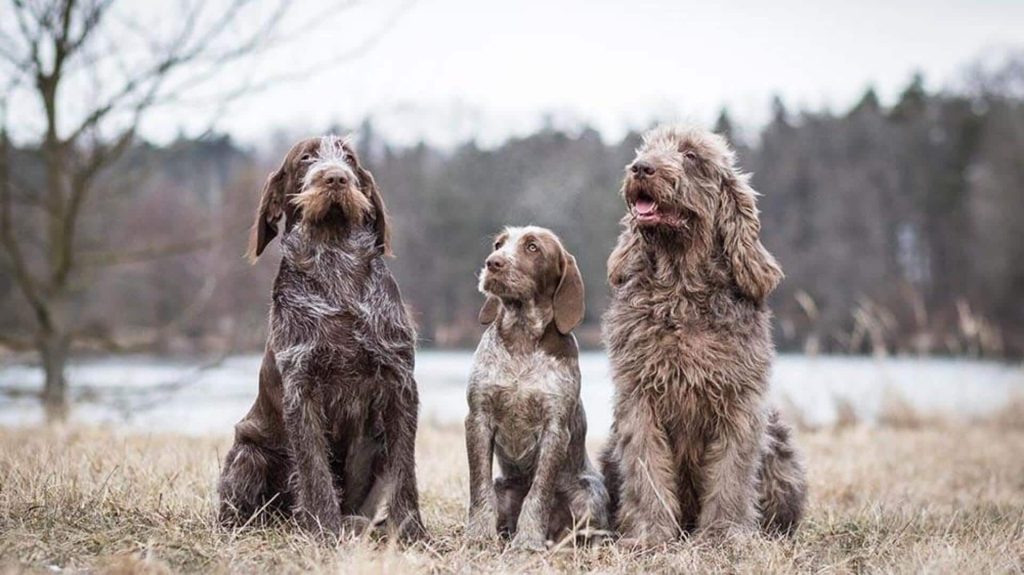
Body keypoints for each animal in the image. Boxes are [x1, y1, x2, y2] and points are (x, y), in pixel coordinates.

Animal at [216, 136, 423, 540]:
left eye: (350, 159)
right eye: (306, 158)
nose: (335, 178)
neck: (335, 265)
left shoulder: (399, 384)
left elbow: (404, 469)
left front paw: (411, 531)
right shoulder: (303, 389)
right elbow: (314, 471)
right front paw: (324, 530)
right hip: (249, 452)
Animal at [464, 226, 606, 548]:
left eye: (532, 247)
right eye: (498, 245)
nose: (493, 263)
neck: (521, 338)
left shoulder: (555, 429)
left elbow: (539, 493)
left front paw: (529, 540)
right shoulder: (478, 419)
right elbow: (479, 488)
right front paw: (478, 534)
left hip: (590, 493)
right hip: (504, 487)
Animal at [598, 123, 806, 544]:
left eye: (691, 155)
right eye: (647, 149)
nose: (641, 168)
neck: (681, 289)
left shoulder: (739, 403)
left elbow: (731, 473)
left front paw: (725, 533)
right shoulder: (639, 399)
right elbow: (646, 470)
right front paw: (650, 533)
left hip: (779, 444)